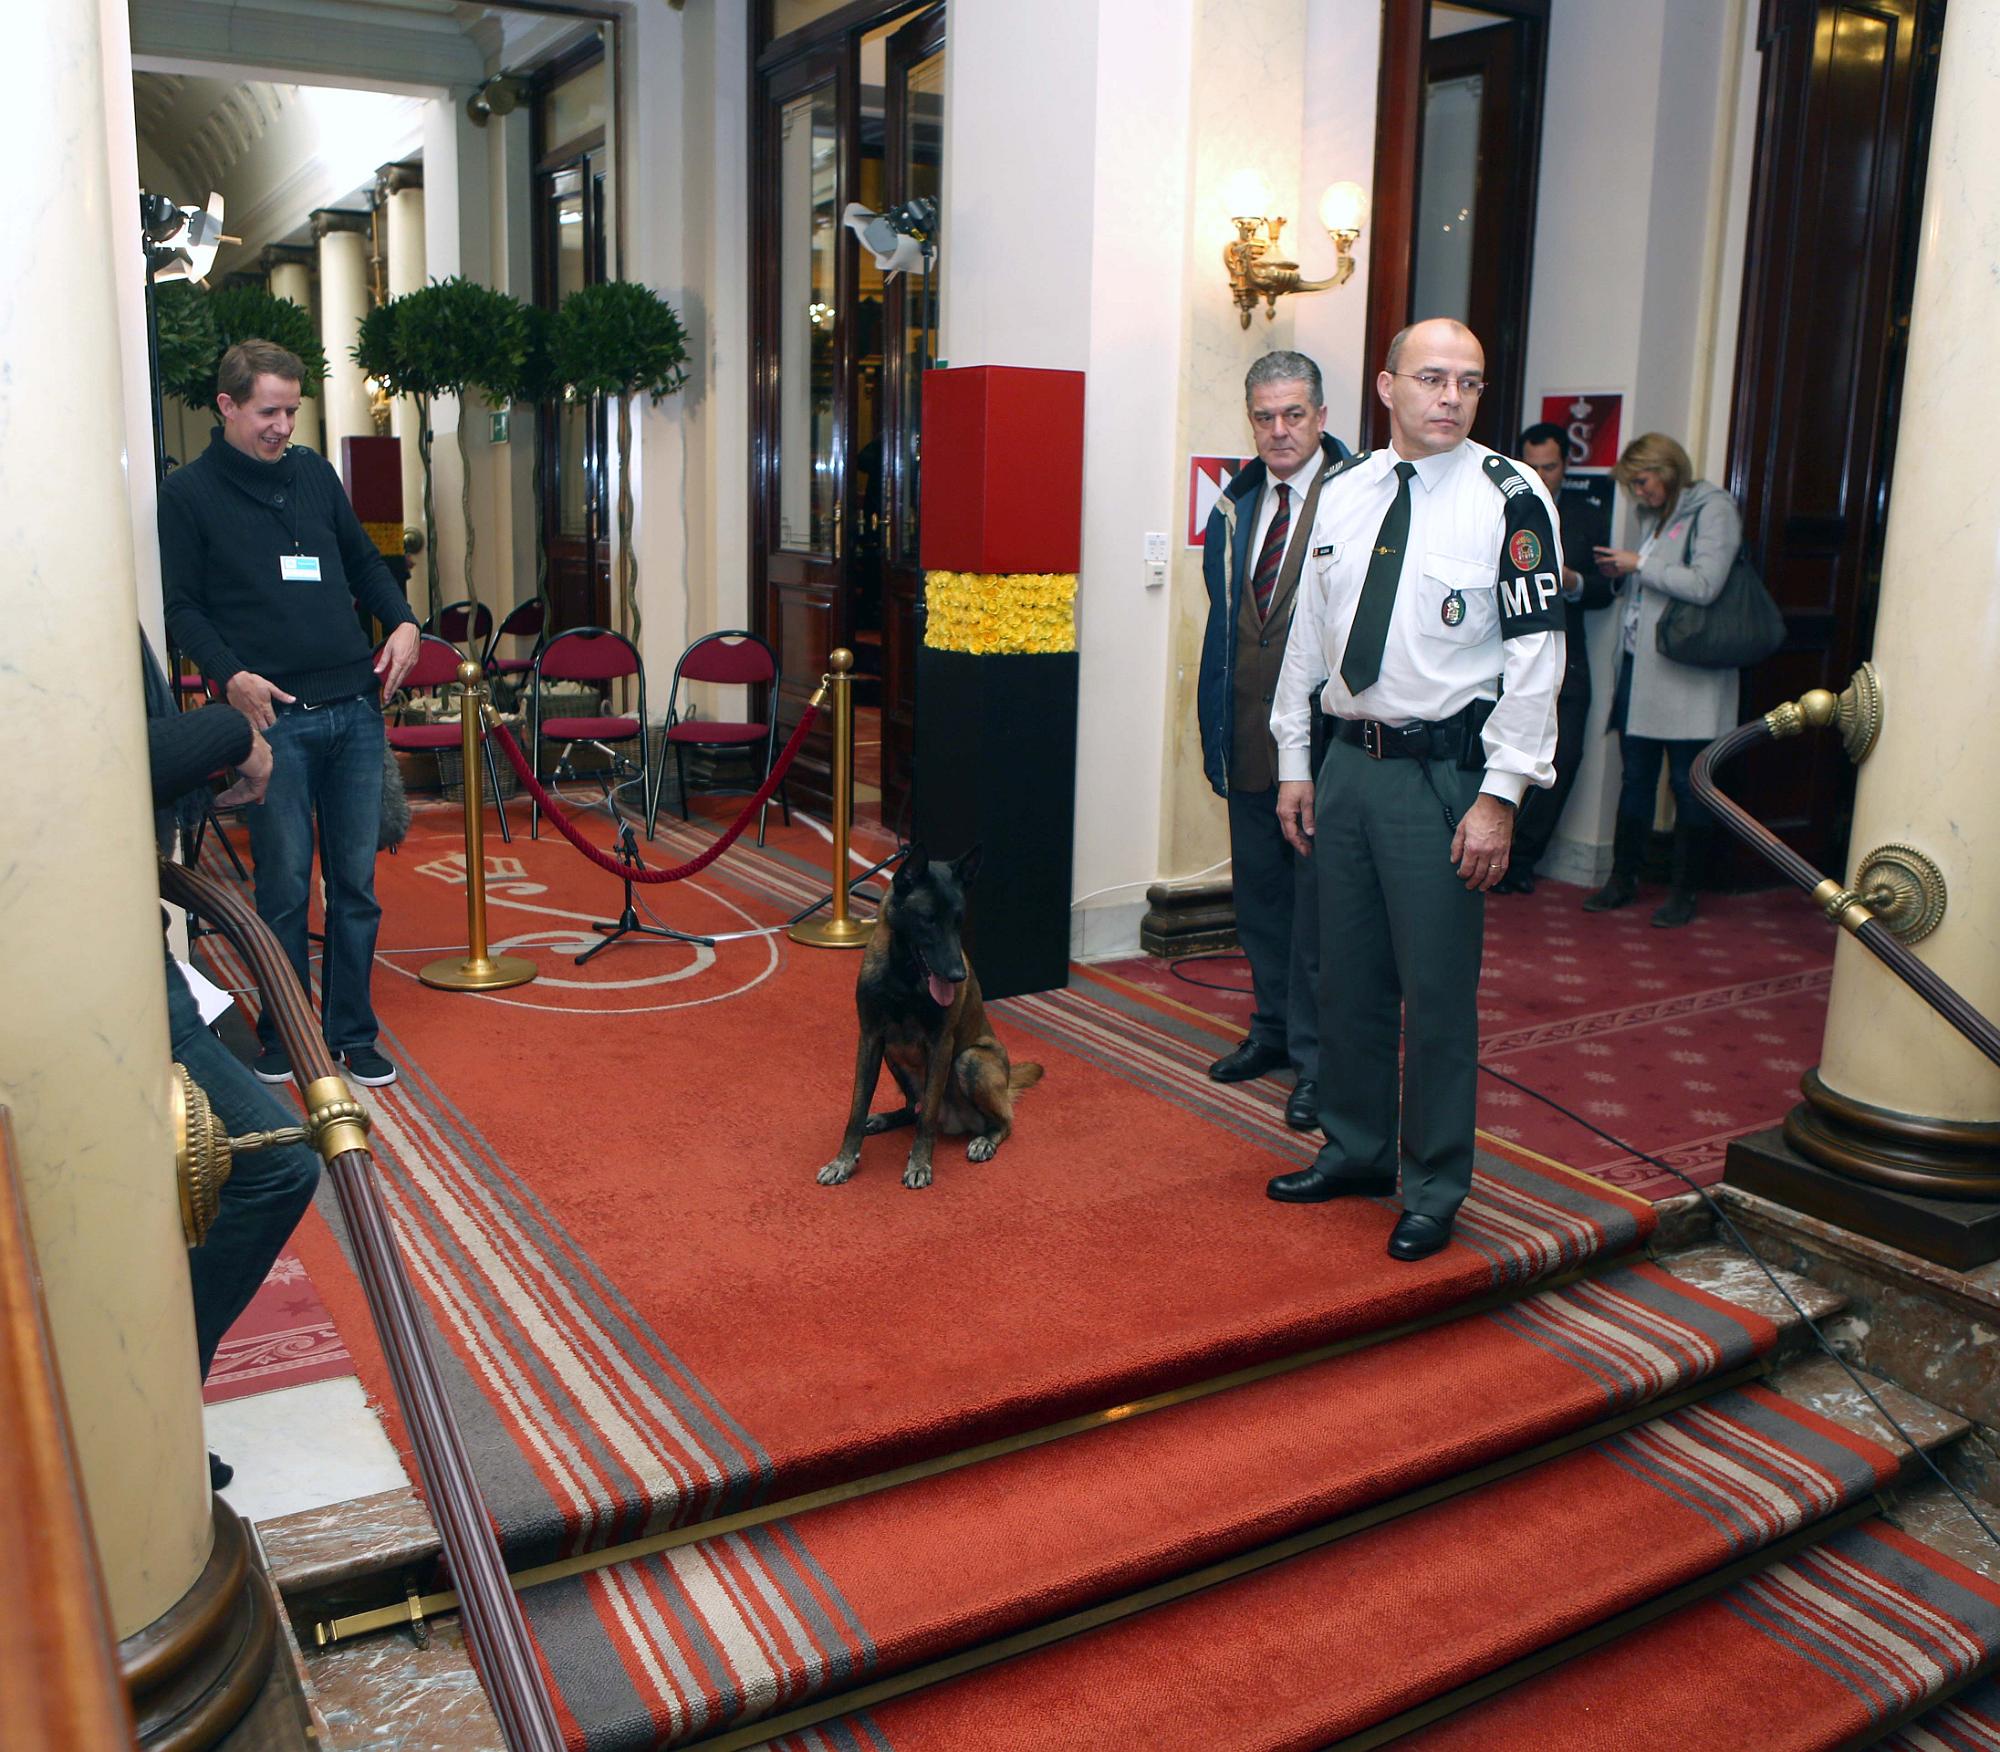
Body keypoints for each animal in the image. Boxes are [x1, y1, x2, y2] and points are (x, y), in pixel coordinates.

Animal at [812, 844, 1040, 1192]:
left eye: (958, 921)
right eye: (928, 920)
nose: (958, 976)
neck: (905, 976)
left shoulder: (941, 1046)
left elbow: (927, 1116)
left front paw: (919, 1163)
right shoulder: (871, 1040)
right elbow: (857, 1109)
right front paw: (844, 1161)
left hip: (971, 1060)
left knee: (1002, 1121)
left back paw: (985, 1140)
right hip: (894, 1056)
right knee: (912, 1108)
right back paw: (885, 1118)